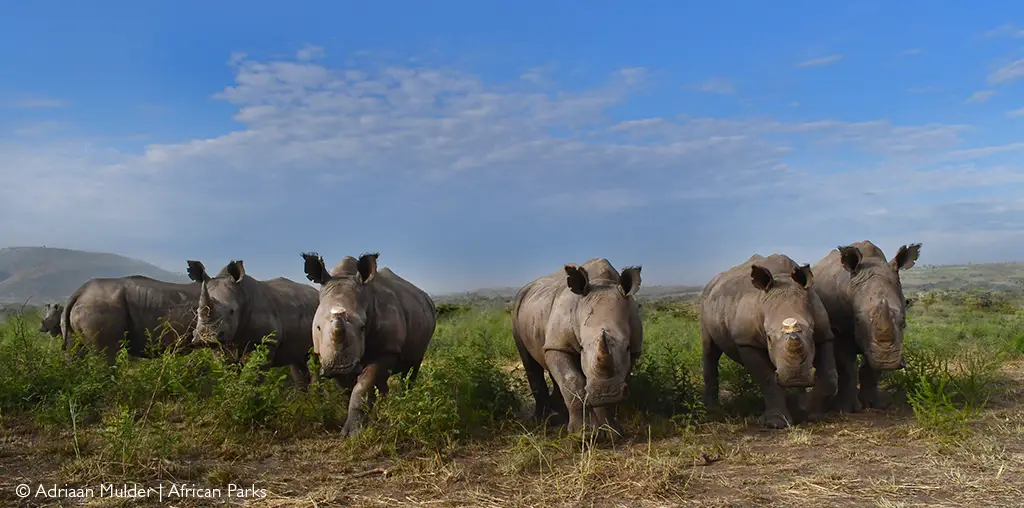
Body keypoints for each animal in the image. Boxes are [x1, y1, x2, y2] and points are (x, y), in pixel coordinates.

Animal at [186, 259, 318, 389]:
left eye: (232, 311)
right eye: (197, 311)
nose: (205, 338)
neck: (240, 294)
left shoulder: (264, 341)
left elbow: (251, 376)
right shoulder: (220, 344)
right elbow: (227, 371)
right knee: (297, 360)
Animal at [300, 252, 437, 437]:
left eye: (362, 327)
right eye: (318, 327)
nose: (340, 368)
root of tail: (425, 297)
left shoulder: (387, 349)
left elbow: (362, 386)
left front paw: (352, 434)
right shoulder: (329, 357)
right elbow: (350, 389)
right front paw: (360, 423)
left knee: (412, 367)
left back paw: (404, 402)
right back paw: (385, 410)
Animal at [511, 258, 643, 437]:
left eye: (627, 347)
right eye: (582, 348)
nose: (606, 393)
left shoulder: (634, 350)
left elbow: (618, 375)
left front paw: (611, 432)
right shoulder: (557, 345)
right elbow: (571, 380)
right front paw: (583, 434)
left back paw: (558, 414)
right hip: (517, 309)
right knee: (530, 363)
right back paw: (540, 422)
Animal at [699, 254, 837, 429]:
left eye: (812, 332)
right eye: (769, 338)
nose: (796, 378)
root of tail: (712, 283)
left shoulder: (824, 333)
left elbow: (829, 376)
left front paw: (810, 413)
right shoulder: (746, 341)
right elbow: (767, 380)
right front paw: (776, 423)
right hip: (705, 303)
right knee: (710, 351)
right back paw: (712, 410)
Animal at [811, 241, 920, 412]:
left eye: (903, 322)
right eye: (857, 320)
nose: (888, 361)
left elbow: (872, 369)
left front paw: (875, 405)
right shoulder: (838, 328)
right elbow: (847, 368)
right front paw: (846, 409)